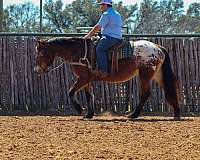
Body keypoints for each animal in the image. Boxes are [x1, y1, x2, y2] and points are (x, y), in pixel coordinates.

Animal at [33, 37, 180, 119]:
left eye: (41, 54)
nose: (37, 70)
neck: (78, 52)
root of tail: (158, 47)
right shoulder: (87, 80)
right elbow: (89, 96)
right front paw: (89, 114)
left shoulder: (83, 78)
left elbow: (70, 92)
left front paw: (80, 110)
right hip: (157, 75)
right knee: (169, 90)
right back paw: (176, 113)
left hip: (145, 74)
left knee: (145, 94)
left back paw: (133, 115)